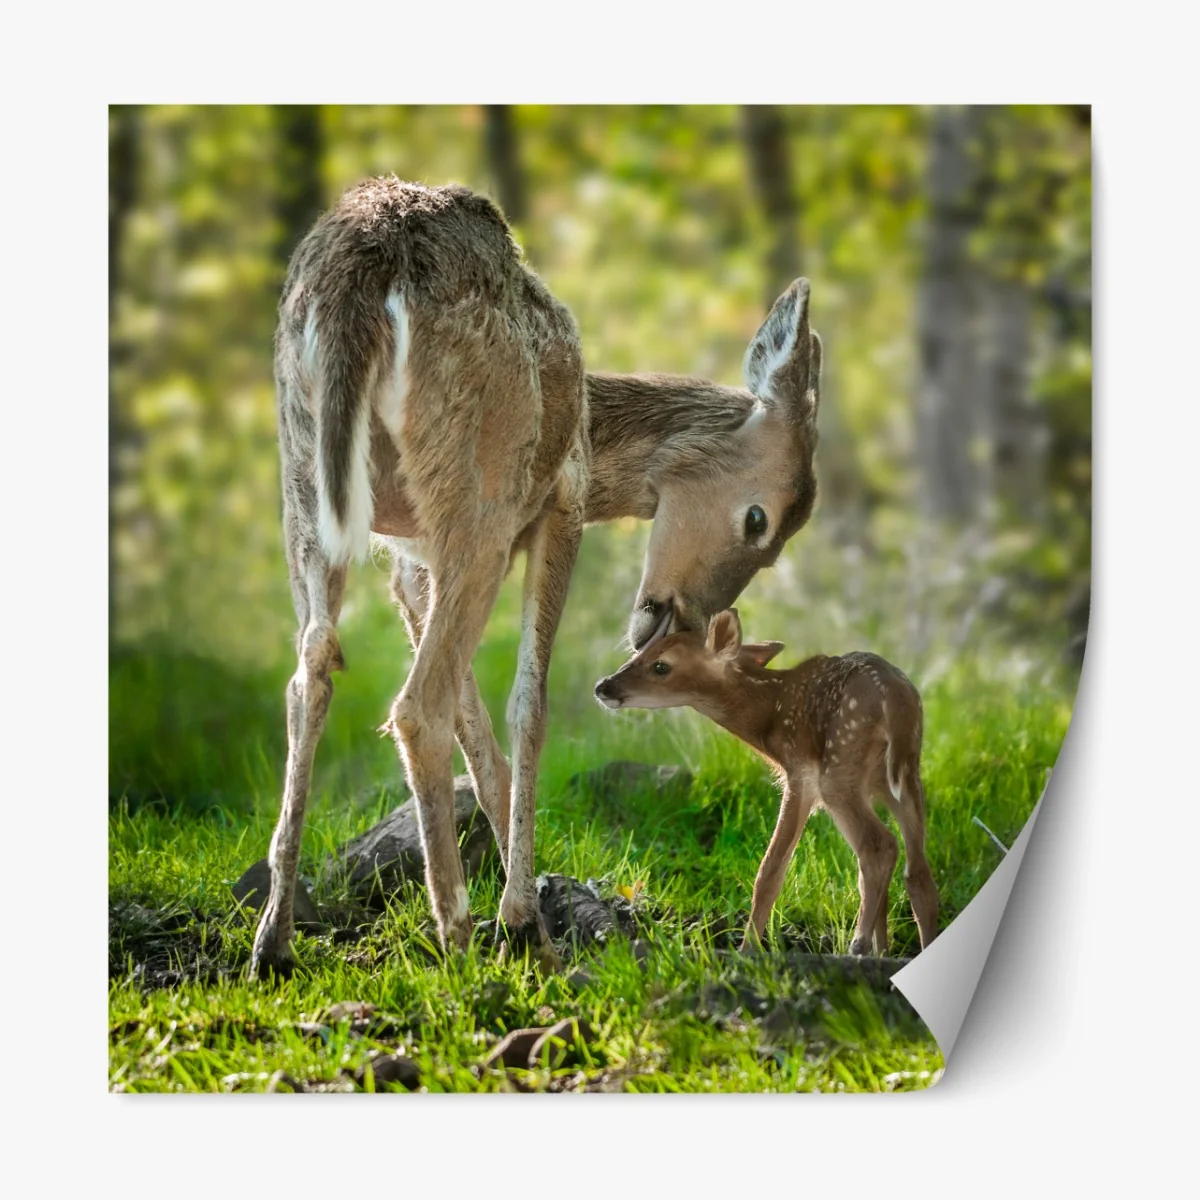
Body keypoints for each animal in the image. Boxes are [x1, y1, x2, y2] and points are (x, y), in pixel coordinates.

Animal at [251, 176, 825, 978]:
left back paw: (273, 938)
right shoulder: (563, 503)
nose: (674, 620)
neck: (592, 429)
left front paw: (538, 911)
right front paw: (524, 922)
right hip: (478, 489)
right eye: (759, 522)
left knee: (310, 676)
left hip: (304, 482)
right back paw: (457, 936)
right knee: (416, 705)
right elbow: (529, 704)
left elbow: (480, 728)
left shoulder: (408, 561)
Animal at [593, 609, 939, 956]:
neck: (770, 717)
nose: (602, 686)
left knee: (879, 846)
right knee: (917, 870)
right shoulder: (867, 788)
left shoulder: (799, 774)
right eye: (638, 653)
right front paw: (884, 950)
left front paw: (747, 950)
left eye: (661, 665)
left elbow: (770, 869)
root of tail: (895, 697)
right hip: (905, 774)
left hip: (840, 767)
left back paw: (858, 943)